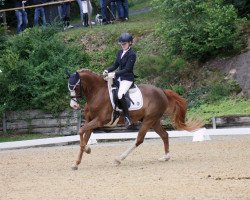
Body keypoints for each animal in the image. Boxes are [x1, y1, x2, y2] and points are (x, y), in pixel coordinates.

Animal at [67, 68, 202, 169]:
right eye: (68, 87)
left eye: (75, 87)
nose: (73, 106)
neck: (97, 93)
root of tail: (161, 91)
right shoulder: (90, 121)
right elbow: (83, 135)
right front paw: (76, 163)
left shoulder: (100, 121)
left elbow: (81, 131)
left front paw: (88, 149)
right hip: (153, 121)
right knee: (164, 135)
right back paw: (166, 157)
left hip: (149, 120)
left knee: (139, 139)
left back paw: (119, 159)